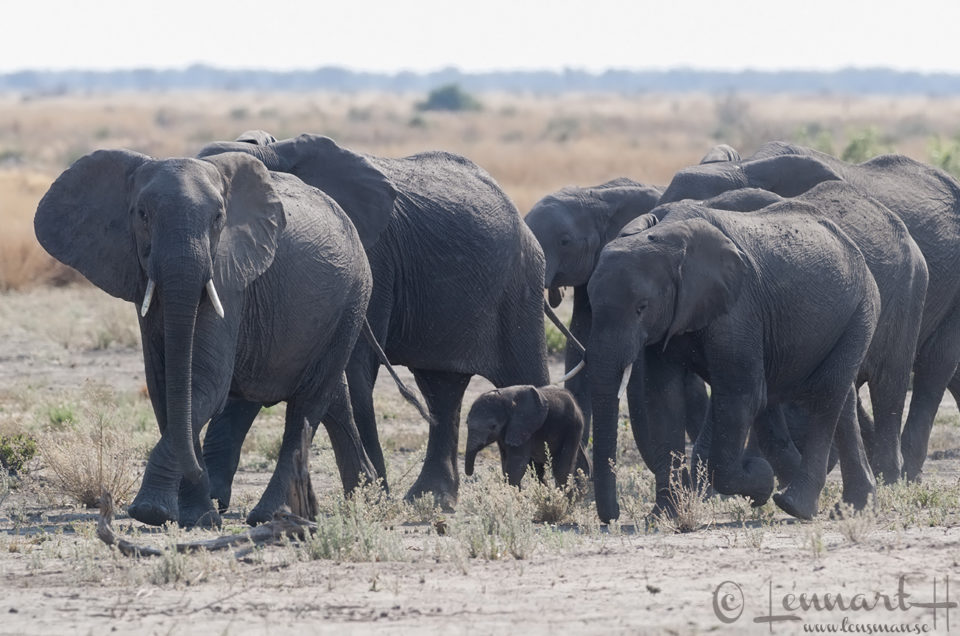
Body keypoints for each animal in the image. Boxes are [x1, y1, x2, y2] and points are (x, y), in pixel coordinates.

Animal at [34, 149, 389, 528]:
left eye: (219, 217)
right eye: (142, 215)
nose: (214, 508)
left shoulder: (229, 279)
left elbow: (206, 384)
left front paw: (153, 512)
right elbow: (165, 386)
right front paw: (196, 516)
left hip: (353, 298)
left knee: (308, 404)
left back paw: (270, 516)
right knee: (331, 393)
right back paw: (366, 499)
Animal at [196, 133, 550, 511]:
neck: (274, 149)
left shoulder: (372, 257)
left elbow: (354, 367)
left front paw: (374, 494)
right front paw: (213, 497)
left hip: (520, 283)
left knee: (526, 376)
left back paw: (556, 492)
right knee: (441, 390)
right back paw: (430, 500)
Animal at [588, 200, 880, 522]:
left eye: (641, 308)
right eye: (590, 303)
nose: (612, 517)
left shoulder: (739, 310)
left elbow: (743, 396)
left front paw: (761, 482)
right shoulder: (669, 322)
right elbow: (664, 399)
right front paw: (662, 517)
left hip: (861, 310)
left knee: (826, 395)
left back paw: (795, 505)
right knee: (843, 400)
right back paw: (853, 508)